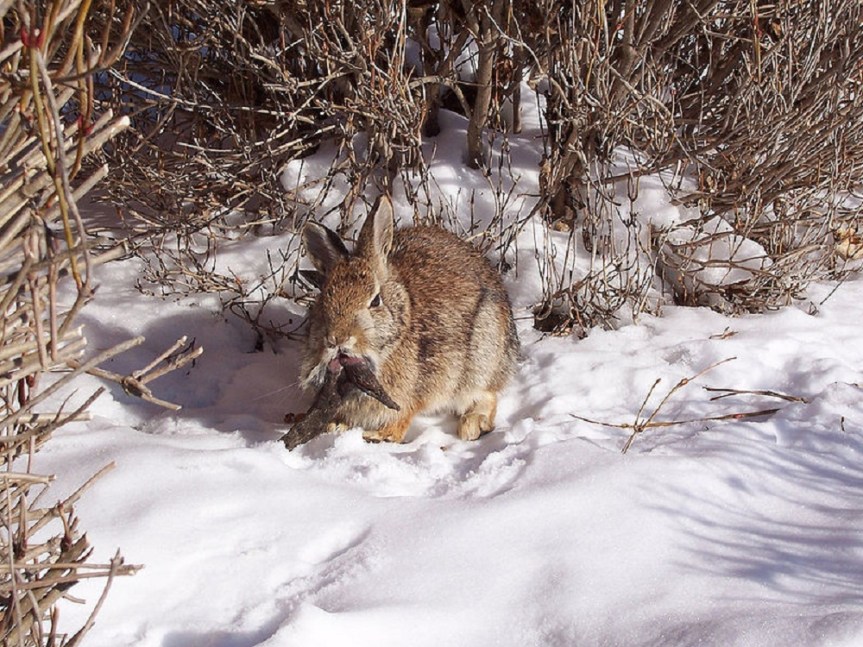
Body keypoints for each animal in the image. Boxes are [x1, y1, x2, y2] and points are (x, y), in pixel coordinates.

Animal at [299, 195, 519, 443]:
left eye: (375, 301)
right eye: (323, 299)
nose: (337, 339)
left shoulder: (413, 395)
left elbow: (402, 418)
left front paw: (379, 435)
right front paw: (336, 427)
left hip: (481, 359)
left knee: (486, 395)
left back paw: (472, 425)